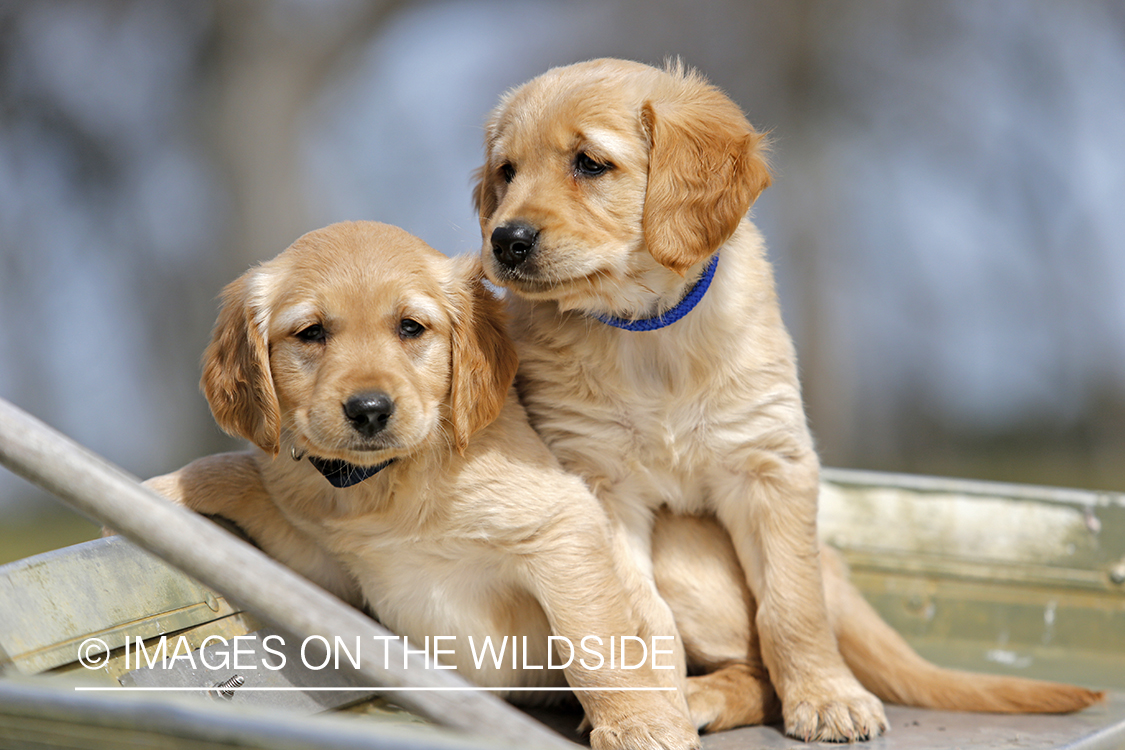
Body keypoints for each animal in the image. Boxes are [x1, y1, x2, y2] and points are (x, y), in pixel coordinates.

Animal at [144, 221, 697, 750]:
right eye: (311, 332)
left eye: (410, 327)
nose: (369, 410)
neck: (391, 479)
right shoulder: (328, 572)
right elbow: (237, 474)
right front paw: (165, 491)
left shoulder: (562, 524)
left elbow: (592, 638)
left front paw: (638, 724)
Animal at [470, 55, 1102, 742]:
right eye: (506, 172)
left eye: (589, 163)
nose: (505, 241)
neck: (649, 332)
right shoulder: (598, 484)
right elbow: (636, 617)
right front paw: (650, 712)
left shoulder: (770, 464)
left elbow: (791, 604)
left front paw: (827, 698)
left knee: (761, 664)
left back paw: (710, 695)